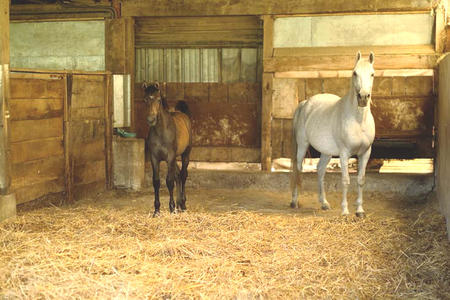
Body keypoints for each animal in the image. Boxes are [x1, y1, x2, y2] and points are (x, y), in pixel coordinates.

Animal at [290, 50, 374, 217]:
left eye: (372, 74)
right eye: (354, 73)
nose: (363, 97)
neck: (358, 120)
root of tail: (304, 103)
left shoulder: (365, 152)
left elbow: (361, 180)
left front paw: (360, 211)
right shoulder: (344, 153)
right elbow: (346, 180)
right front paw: (345, 211)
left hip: (326, 152)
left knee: (320, 170)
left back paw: (324, 203)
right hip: (302, 145)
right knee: (298, 170)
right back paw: (294, 202)